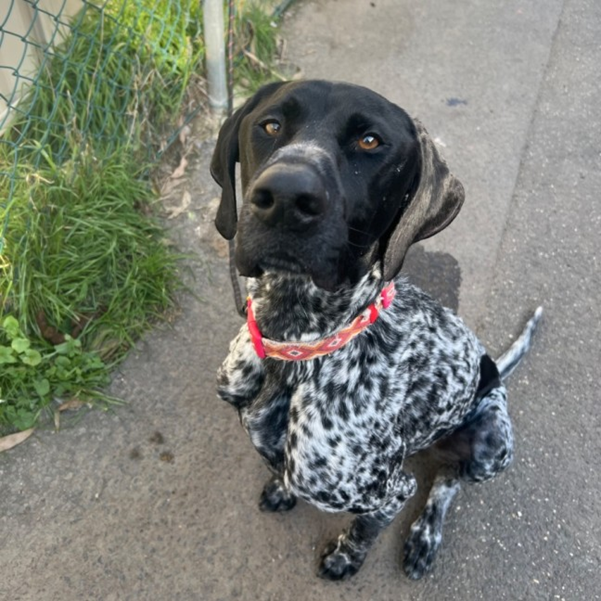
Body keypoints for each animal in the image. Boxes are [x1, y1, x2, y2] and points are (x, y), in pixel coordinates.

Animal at [210, 81, 540, 580]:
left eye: (370, 142)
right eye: (270, 125)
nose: (285, 195)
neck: (298, 341)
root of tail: (493, 370)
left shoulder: (390, 492)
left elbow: (365, 529)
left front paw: (346, 557)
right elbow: (277, 467)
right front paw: (281, 489)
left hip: (492, 444)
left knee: (448, 480)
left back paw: (425, 535)